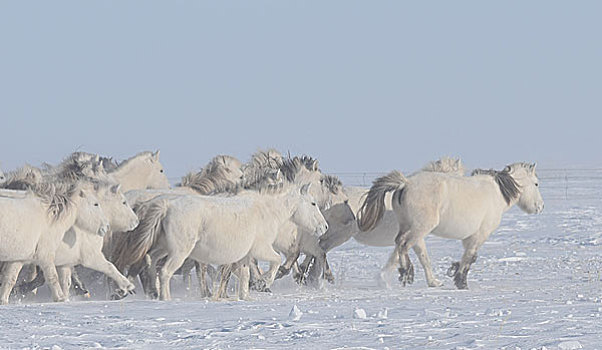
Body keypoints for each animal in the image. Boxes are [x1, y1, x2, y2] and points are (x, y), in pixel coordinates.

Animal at [112, 182, 328, 300]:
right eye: (313, 203)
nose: (324, 227)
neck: (267, 211)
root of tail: (166, 206)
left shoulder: (245, 256)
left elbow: (244, 276)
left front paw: (245, 295)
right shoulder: (261, 249)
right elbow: (274, 262)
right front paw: (264, 282)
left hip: (165, 248)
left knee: (150, 259)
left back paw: (153, 291)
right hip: (180, 252)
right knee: (164, 271)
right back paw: (165, 297)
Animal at [356, 163, 544, 288]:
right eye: (536, 183)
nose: (540, 207)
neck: (497, 193)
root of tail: (405, 183)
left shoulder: (470, 238)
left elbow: (468, 257)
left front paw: (454, 271)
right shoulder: (479, 235)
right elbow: (470, 257)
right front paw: (461, 281)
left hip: (411, 228)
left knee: (413, 251)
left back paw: (431, 281)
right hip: (420, 228)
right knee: (403, 245)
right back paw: (407, 273)